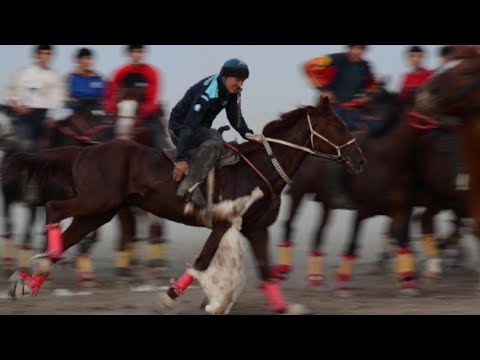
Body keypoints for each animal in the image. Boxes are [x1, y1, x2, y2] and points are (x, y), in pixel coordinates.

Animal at [3, 97, 366, 314]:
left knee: (68, 234)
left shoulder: (256, 228)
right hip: (97, 200)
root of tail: (85, 149)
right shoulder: (223, 223)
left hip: (100, 211)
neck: (262, 168)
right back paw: (35, 269)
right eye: (339, 126)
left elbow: (265, 268)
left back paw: (31, 279)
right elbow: (203, 261)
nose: (360, 160)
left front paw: (283, 307)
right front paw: (171, 296)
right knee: (53, 208)